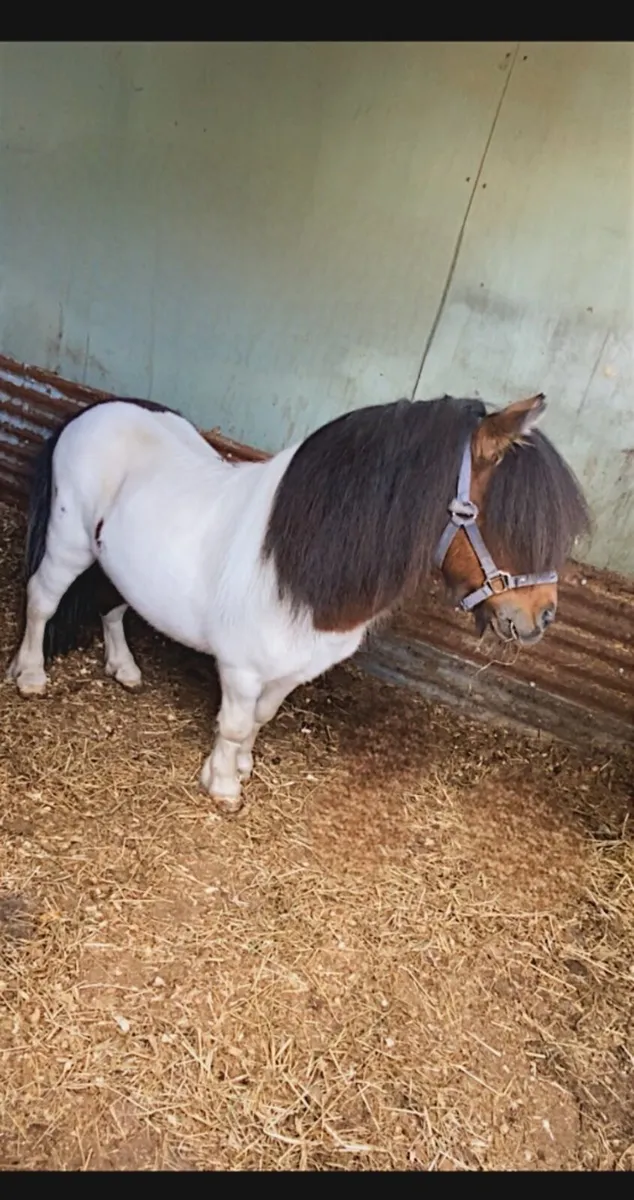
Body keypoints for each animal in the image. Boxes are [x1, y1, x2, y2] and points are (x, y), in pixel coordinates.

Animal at [6, 391, 589, 812]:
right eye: (499, 520)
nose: (540, 618)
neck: (294, 560)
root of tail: (93, 411)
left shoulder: (294, 670)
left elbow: (259, 720)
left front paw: (238, 767)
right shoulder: (240, 668)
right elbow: (234, 723)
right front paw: (223, 787)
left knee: (113, 604)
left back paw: (124, 668)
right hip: (69, 545)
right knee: (41, 600)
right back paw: (30, 674)